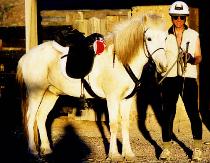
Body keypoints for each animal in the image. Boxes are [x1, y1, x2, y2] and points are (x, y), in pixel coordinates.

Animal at [16, 13, 167, 161]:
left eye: (165, 37)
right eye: (149, 38)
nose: (163, 66)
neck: (121, 60)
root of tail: (26, 56)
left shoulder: (127, 99)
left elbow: (125, 124)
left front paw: (128, 153)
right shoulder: (112, 98)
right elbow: (113, 124)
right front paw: (114, 155)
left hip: (51, 93)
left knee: (41, 117)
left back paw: (47, 149)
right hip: (36, 92)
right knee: (31, 118)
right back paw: (33, 151)